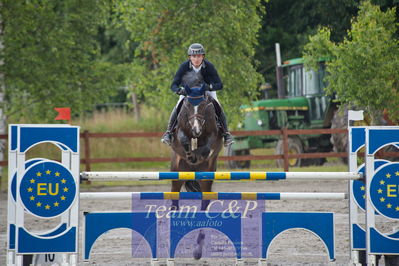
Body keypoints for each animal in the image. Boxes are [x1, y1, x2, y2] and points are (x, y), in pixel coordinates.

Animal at [170, 71, 225, 212]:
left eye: (203, 105)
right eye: (188, 105)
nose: (196, 130)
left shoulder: (212, 134)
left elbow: (206, 147)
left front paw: (196, 156)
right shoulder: (180, 131)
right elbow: (184, 140)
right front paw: (190, 155)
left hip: (207, 176)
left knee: (205, 197)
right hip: (177, 173)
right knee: (174, 194)